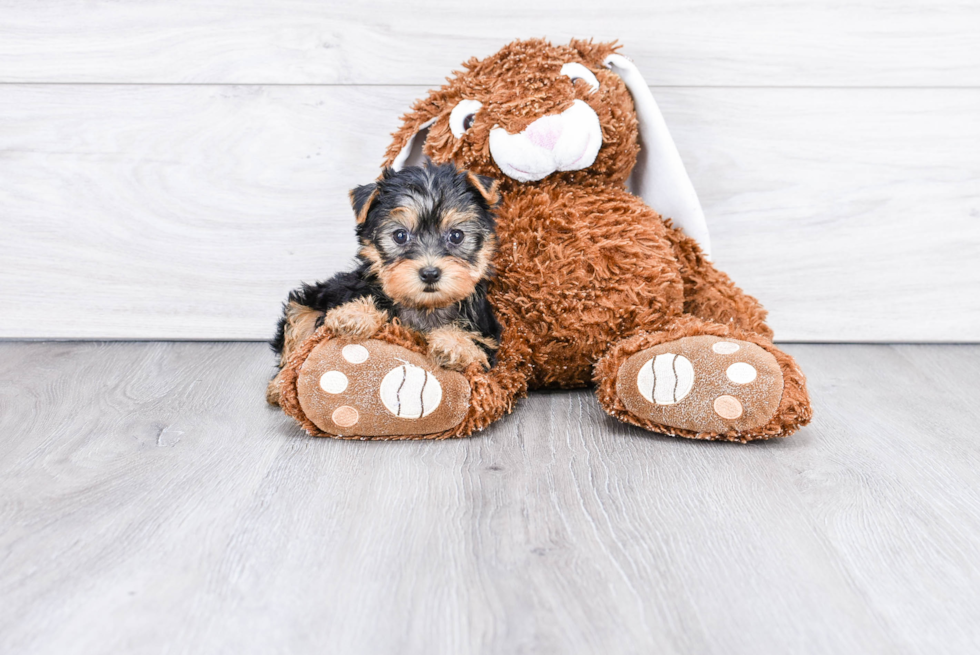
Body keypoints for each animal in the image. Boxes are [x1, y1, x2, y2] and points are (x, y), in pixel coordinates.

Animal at [266, 163, 502, 404]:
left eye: (456, 236)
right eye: (400, 235)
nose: (429, 273)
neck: (424, 306)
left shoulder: (487, 333)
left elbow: (476, 343)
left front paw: (454, 344)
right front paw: (355, 314)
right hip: (306, 304)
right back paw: (279, 386)